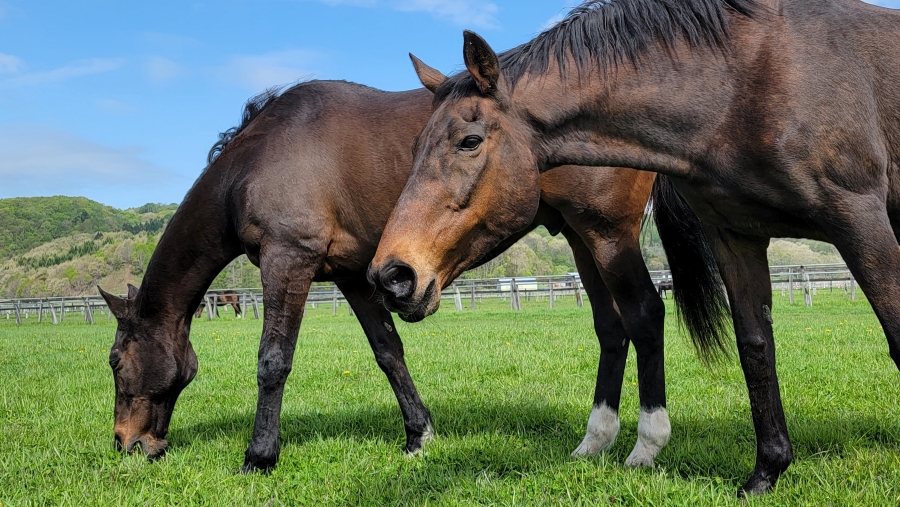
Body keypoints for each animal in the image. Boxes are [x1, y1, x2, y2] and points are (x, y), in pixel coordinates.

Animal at [96, 79, 716, 472]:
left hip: (606, 233)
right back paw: (595, 441)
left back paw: (644, 446)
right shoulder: (355, 275)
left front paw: (259, 456)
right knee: (611, 330)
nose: (126, 443)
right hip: (580, 237)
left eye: (115, 361)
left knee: (644, 317)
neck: (258, 157)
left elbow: (273, 361)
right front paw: (419, 434)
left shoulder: (287, 259)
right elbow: (388, 351)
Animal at [366, 0, 900, 496]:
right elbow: (755, 346)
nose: (392, 275)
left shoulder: (860, 222)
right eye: (414, 146)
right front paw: (766, 472)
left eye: (469, 141)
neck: (743, 84)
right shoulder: (734, 237)